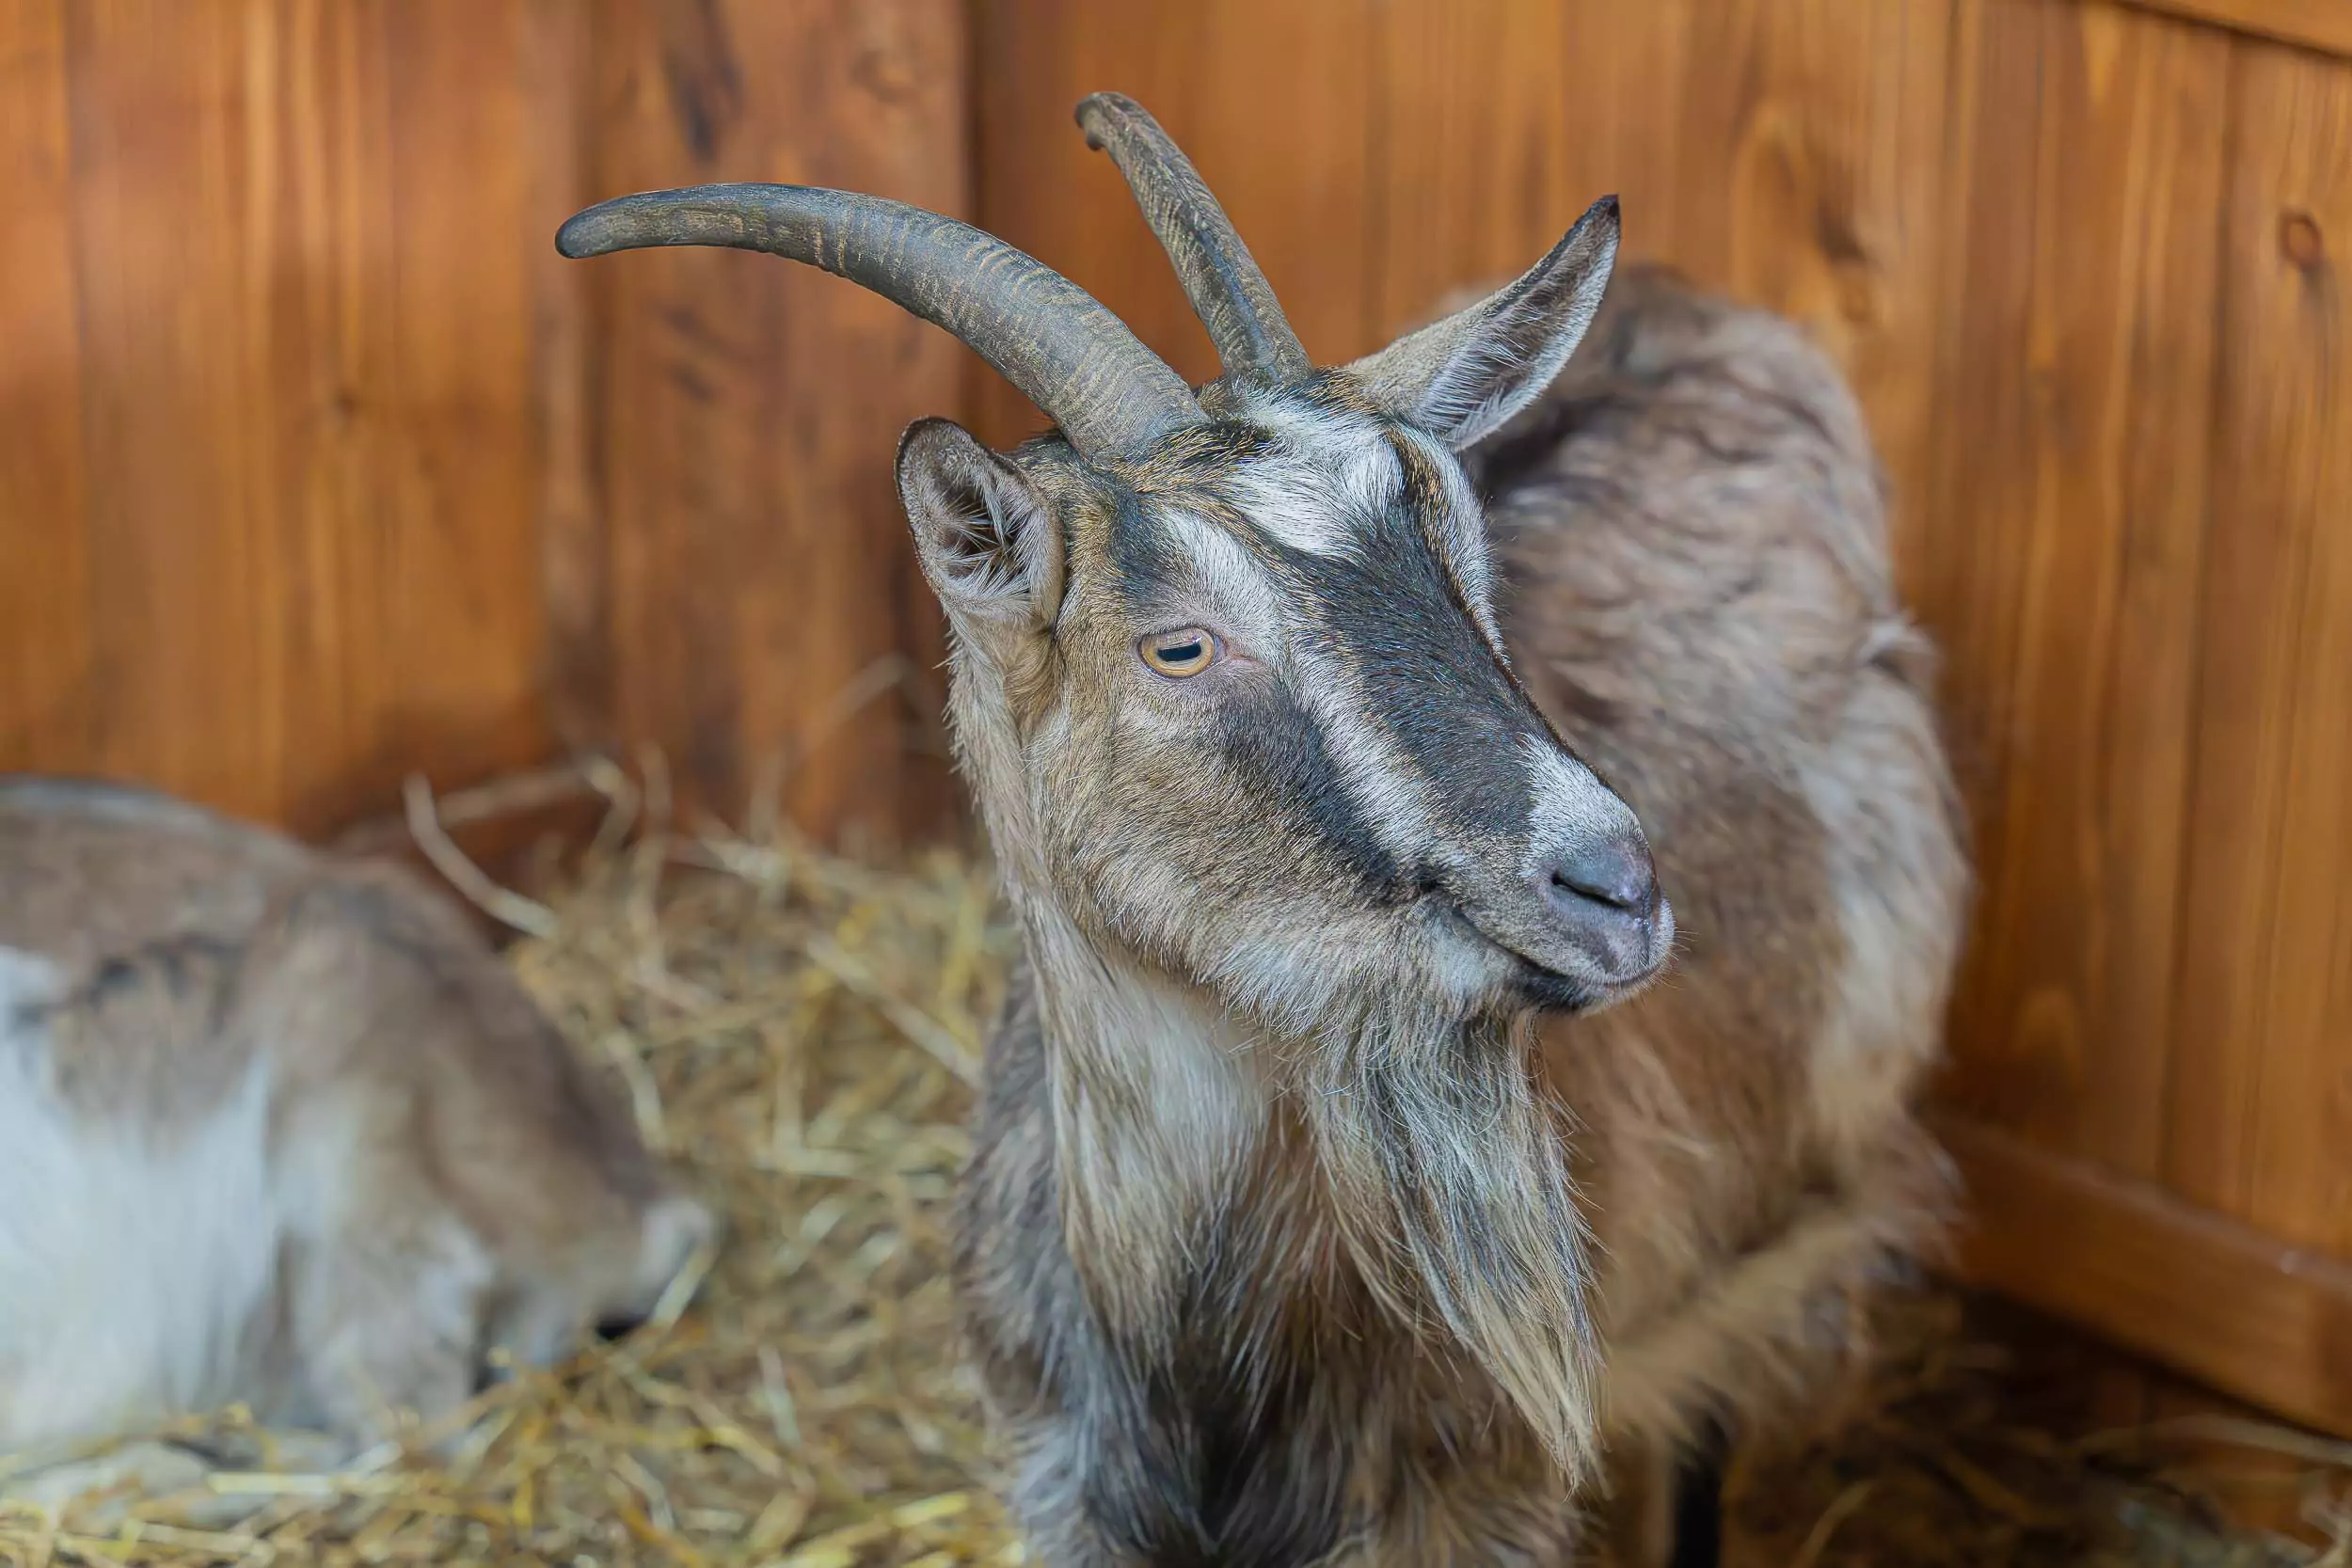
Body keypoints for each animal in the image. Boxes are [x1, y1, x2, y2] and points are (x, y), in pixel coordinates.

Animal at [555, 88, 1966, 1568]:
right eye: (1179, 643)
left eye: (1464, 561)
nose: (1613, 887)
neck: (1201, 1341)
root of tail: (1688, 307)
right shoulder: (1062, 1485)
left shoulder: (1466, 1499)